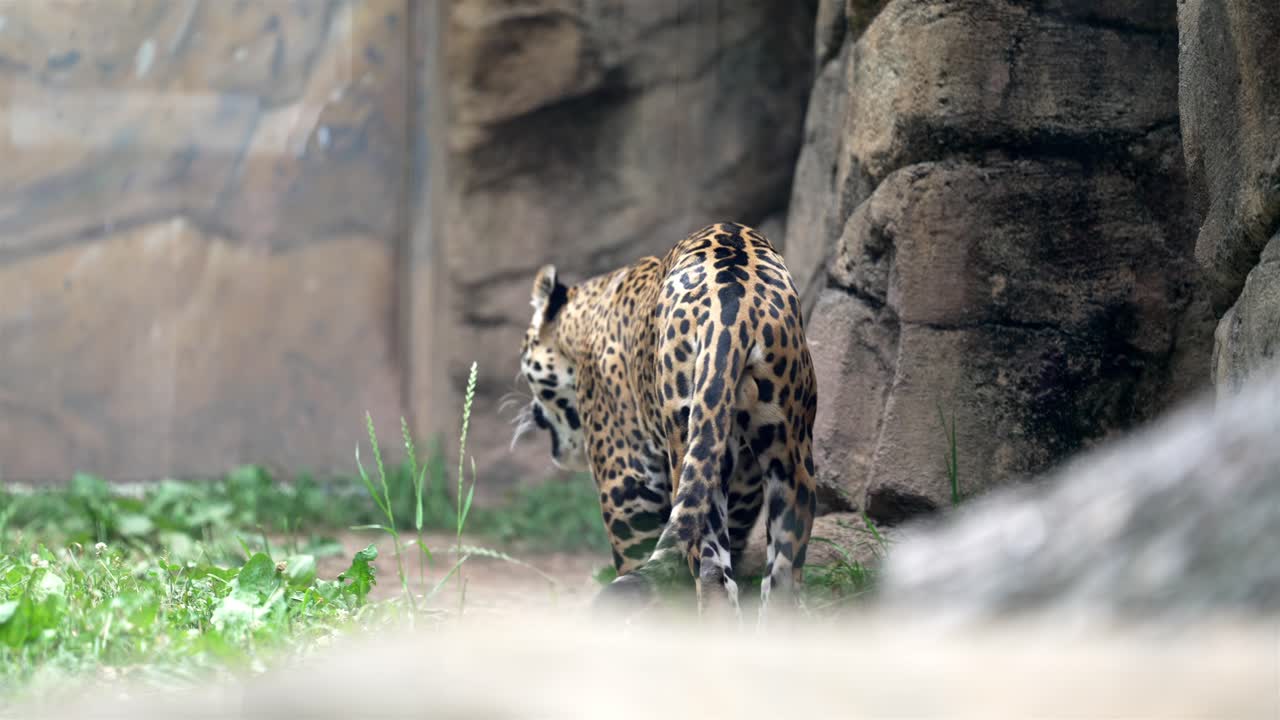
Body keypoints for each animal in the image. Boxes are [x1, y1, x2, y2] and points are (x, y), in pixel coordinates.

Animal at [510, 222, 818, 622]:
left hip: (685, 439)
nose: (532, 412)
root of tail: (737, 304)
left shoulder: (627, 485)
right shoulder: (746, 484)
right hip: (788, 451)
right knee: (781, 573)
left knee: (710, 573)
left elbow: (637, 560)